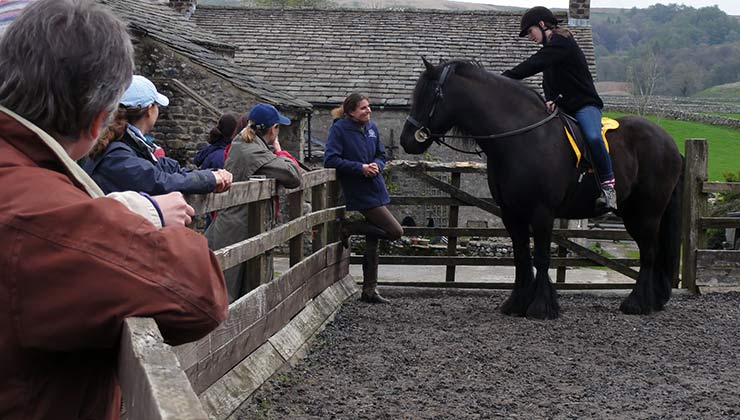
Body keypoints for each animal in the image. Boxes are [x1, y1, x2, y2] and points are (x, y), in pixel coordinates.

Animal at [402, 59, 684, 320]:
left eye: (430, 95)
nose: (407, 140)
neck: (520, 138)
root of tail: (670, 143)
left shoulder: (542, 213)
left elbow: (541, 258)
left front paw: (541, 306)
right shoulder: (511, 213)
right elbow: (521, 256)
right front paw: (516, 303)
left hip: (645, 214)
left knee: (649, 253)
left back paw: (637, 303)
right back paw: (654, 299)